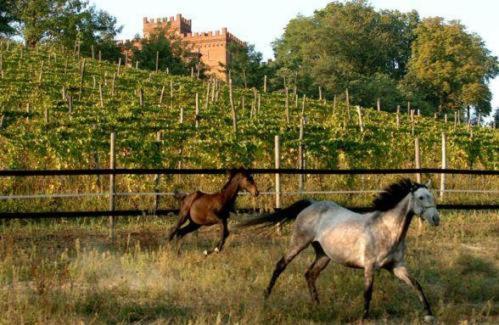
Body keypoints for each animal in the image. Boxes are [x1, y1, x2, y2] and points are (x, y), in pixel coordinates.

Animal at [240, 178, 440, 320]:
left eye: (432, 196)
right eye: (421, 197)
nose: (436, 219)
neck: (387, 229)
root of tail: (311, 203)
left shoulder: (396, 267)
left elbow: (417, 285)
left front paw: (429, 314)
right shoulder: (369, 267)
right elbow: (368, 293)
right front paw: (364, 318)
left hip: (323, 254)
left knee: (310, 274)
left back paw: (317, 305)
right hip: (299, 242)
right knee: (280, 265)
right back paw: (266, 298)